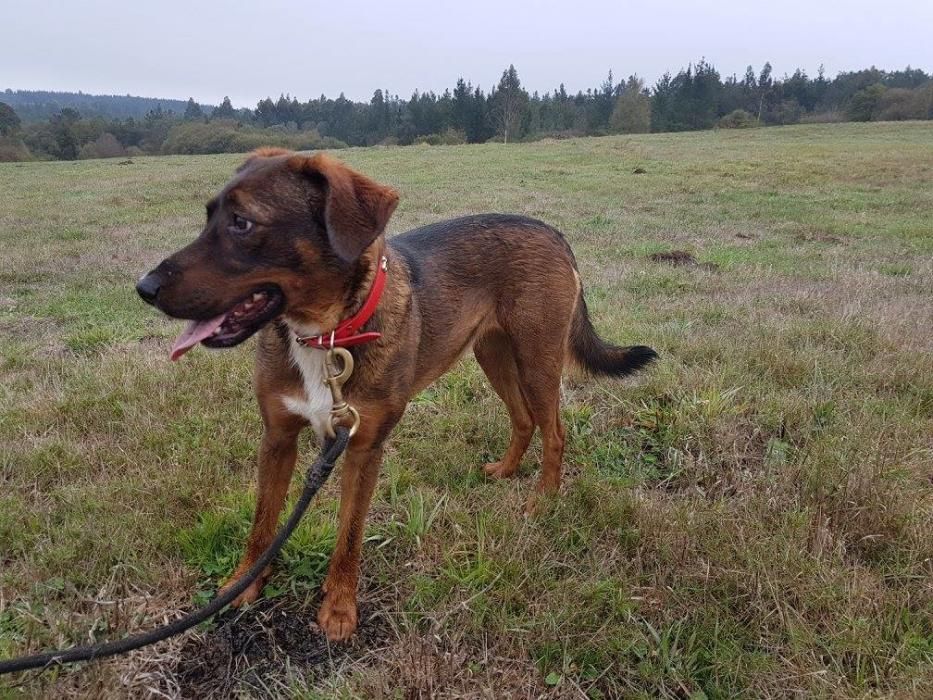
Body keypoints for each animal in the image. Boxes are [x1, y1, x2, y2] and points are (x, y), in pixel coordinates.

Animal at [137, 150, 656, 644]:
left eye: (242, 222)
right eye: (208, 216)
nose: (144, 288)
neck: (326, 336)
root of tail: (551, 230)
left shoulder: (363, 447)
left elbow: (349, 535)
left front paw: (339, 610)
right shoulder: (278, 438)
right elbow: (263, 524)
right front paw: (243, 586)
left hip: (537, 360)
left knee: (555, 431)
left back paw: (542, 498)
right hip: (493, 354)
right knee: (522, 419)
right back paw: (507, 471)